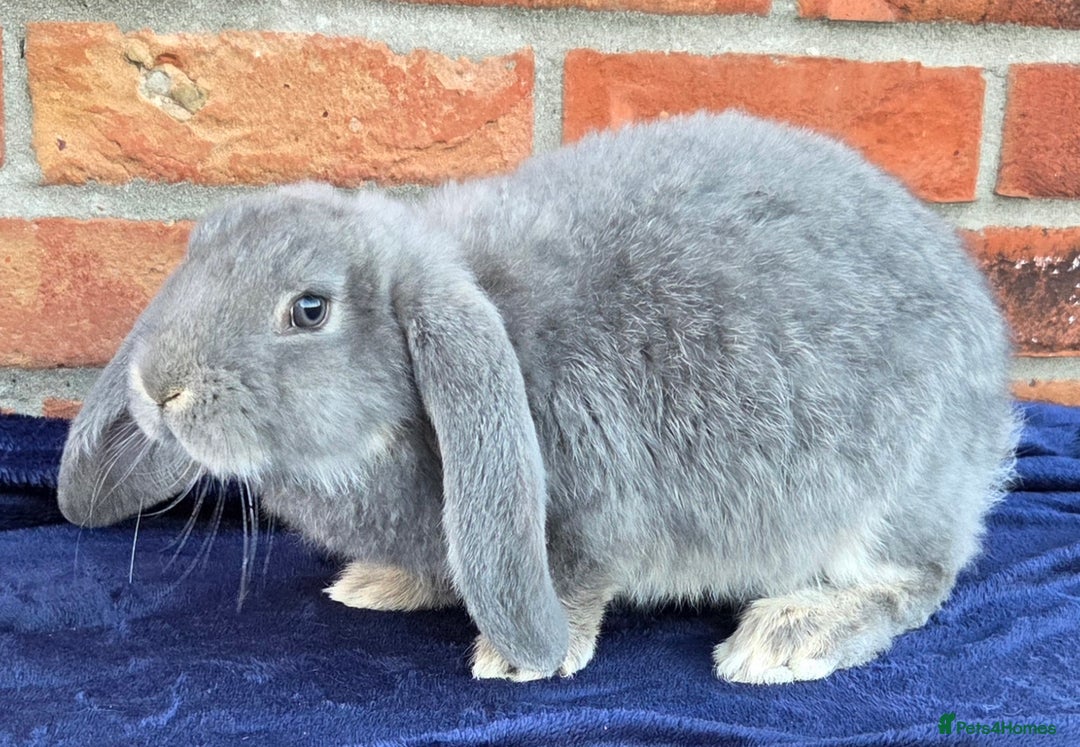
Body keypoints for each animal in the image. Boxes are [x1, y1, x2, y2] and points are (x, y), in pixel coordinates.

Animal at [56, 110, 1019, 684]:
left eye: (310, 308)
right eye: (197, 249)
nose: (157, 387)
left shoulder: (591, 514)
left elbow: (577, 578)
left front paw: (523, 659)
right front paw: (382, 583)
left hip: (882, 506)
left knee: (918, 581)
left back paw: (788, 635)